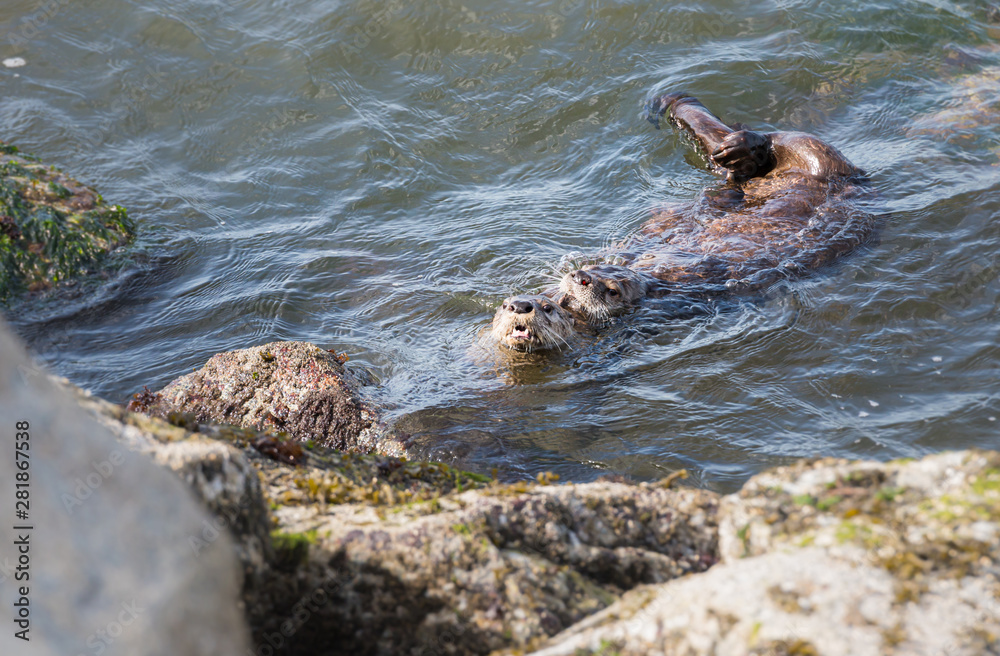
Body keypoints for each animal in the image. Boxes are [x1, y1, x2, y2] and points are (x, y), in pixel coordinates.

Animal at [558, 92, 875, 321]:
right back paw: (738, 158)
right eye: (593, 267)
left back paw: (742, 147)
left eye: (612, 291)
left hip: (818, 158)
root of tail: (851, 182)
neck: (660, 280)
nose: (581, 277)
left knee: (787, 139)